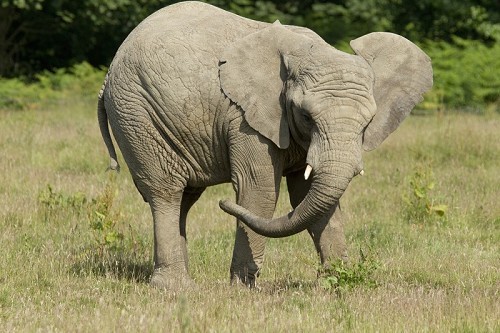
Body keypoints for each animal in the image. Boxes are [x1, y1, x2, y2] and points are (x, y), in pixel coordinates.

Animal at [97, 1, 434, 290]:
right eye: (306, 116)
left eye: (368, 122)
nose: (223, 204)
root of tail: (110, 69)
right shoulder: (245, 117)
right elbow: (259, 189)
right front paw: (243, 289)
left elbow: (308, 195)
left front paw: (338, 282)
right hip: (137, 115)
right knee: (165, 192)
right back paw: (176, 288)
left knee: (185, 197)